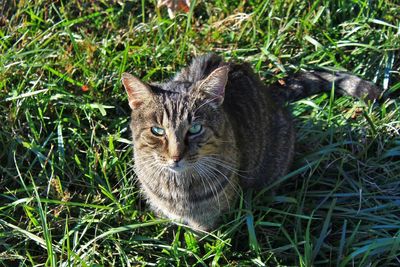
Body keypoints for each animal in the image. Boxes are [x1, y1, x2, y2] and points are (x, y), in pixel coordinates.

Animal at [121, 53, 378, 231]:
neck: (178, 188)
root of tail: (271, 93)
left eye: (195, 129)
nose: (176, 156)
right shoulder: (162, 210)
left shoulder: (209, 220)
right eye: (157, 131)